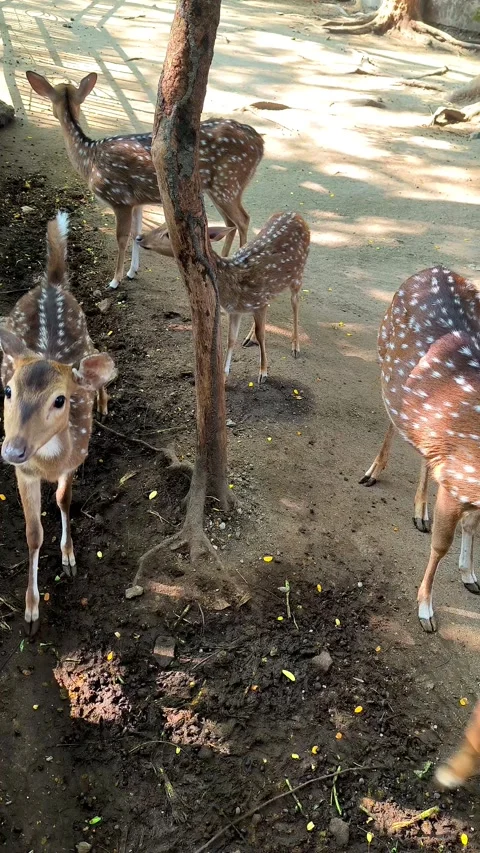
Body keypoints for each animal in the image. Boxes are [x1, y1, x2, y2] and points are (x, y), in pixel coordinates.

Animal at [0, 211, 116, 636]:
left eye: (60, 400)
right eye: (9, 391)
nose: (13, 450)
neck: (48, 461)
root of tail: (51, 283)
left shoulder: (75, 456)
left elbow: (65, 500)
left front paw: (69, 559)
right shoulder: (24, 473)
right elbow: (32, 534)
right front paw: (31, 610)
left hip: (84, 330)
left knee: (98, 356)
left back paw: (101, 397)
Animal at [26, 70, 264, 290]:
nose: (52, 113)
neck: (89, 159)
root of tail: (260, 144)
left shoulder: (119, 198)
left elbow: (121, 238)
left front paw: (114, 281)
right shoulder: (136, 201)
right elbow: (136, 233)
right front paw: (132, 271)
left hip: (228, 183)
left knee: (243, 220)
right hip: (218, 188)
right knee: (230, 223)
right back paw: (223, 261)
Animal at [136, 211, 310, 383]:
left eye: (169, 234)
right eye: (161, 224)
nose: (139, 237)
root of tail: (295, 213)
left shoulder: (258, 302)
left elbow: (262, 336)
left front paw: (263, 372)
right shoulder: (236, 310)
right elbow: (231, 339)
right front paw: (225, 374)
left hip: (298, 275)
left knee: (295, 302)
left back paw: (295, 346)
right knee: (273, 303)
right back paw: (250, 338)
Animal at [361, 266, 480, 633]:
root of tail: (435, 268)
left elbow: (471, 525)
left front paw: (470, 576)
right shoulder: (458, 483)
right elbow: (441, 544)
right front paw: (425, 610)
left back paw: (419, 512)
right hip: (385, 358)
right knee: (392, 418)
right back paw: (372, 473)